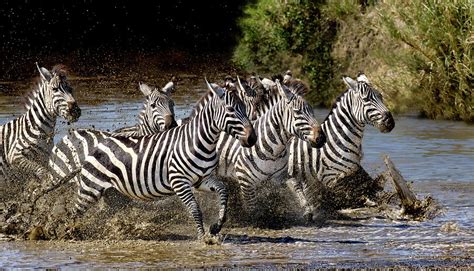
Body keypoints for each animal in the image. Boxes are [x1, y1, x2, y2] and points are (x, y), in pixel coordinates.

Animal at [66, 81, 256, 240]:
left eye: (245, 108)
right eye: (230, 110)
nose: (252, 139)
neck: (200, 141)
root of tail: (99, 143)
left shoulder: (201, 180)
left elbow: (223, 191)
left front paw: (216, 226)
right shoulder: (179, 181)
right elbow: (195, 209)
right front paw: (203, 238)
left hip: (113, 195)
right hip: (90, 188)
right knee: (74, 212)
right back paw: (70, 233)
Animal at [213, 79, 328, 214]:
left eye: (313, 112)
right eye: (297, 112)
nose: (322, 138)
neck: (273, 151)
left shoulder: (281, 176)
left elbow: (298, 190)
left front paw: (307, 211)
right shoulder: (245, 181)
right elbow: (252, 209)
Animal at [286, 74, 396, 221]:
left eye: (381, 97)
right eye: (366, 99)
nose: (390, 122)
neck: (338, 140)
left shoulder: (354, 171)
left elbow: (368, 188)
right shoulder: (330, 178)